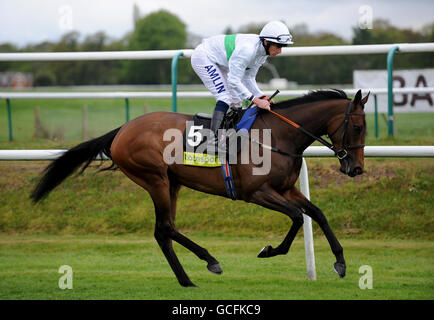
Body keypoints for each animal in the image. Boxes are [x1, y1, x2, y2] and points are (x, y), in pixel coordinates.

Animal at [32, 89, 368, 286]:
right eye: (357, 126)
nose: (356, 168)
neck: (277, 136)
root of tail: (122, 130)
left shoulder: (286, 189)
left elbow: (317, 213)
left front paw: (340, 262)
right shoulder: (257, 193)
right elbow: (298, 217)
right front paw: (269, 250)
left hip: (172, 183)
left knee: (163, 230)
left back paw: (191, 275)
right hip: (155, 178)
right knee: (164, 228)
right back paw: (205, 264)